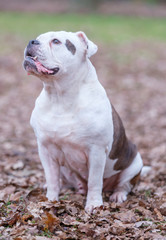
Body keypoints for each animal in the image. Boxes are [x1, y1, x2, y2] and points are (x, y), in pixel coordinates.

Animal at [22, 31, 143, 213]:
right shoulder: (46, 149)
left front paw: (94, 204)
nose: (31, 41)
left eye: (56, 41)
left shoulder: (96, 151)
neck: (60, 96)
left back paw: (118, 195)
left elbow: (94, 181)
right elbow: (52, 179)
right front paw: (50, 200)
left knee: (125, 184)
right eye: (38, 37)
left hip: (135, 163)